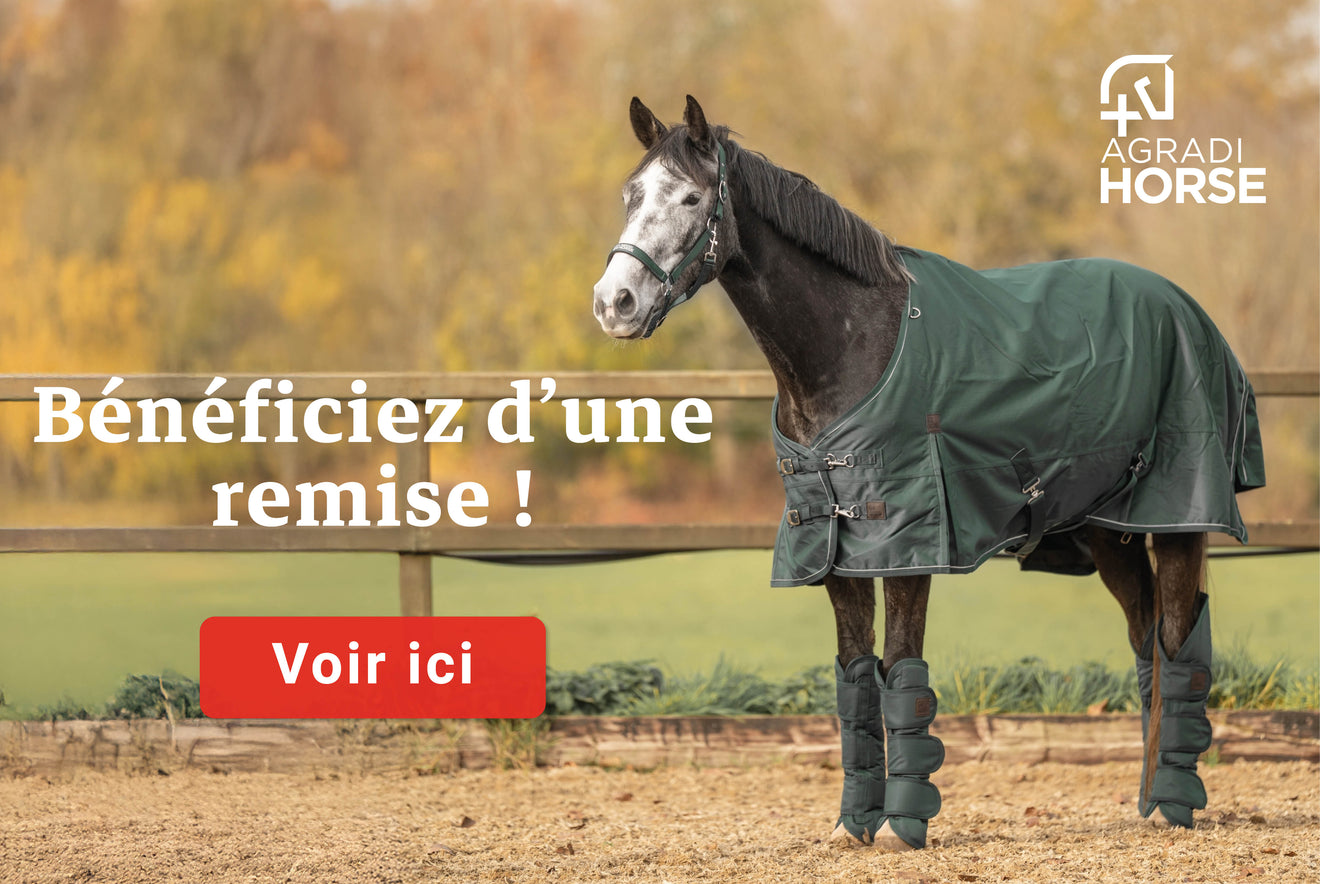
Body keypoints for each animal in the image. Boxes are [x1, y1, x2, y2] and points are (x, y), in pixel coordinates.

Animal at [592, 96, 1265, 852]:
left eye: (690, 197)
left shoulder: (908, 542)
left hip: (1176, 517)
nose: (613, 303)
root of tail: (1186, 309)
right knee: (1146, 641)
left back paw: (1174, 806)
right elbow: (856, 680)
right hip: (1108, 530)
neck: (852, 345)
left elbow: (901, 673)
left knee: (1178, 643)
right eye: (630, 195)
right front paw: (853, 824)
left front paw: (902, 825)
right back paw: (1147, 803)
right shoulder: (834, 549)